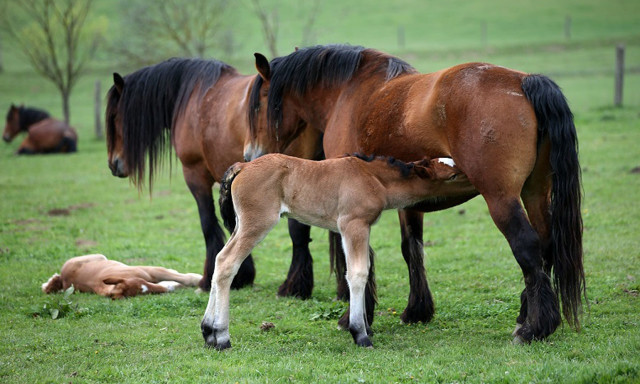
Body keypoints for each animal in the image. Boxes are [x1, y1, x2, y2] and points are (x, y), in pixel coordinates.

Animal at [107, 58, 322, 294]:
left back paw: (294, 285)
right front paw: (242, 275)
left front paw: (212, 278)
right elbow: (233, 227)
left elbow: (208, 223)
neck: (191, 94)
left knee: (298, 230)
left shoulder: (195, 175)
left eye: (114, 117)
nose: (113, 164)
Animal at [201, 152, 476, 348]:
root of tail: (243, 166)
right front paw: (360, 334)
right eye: (452, 176)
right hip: (257, 223)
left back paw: (207, 331)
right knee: (227, 263)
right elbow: (358, 273)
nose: (475, 180)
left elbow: (359, 271)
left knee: (219, 259)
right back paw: (222, 337)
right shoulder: (354, 224)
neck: (373, 178)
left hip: (241, 225)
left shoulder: (349, 230)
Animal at [245, 44, 584, 342]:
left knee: (527, 246)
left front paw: (358, 318)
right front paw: (417, 311)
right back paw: (526, 315)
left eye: (259, 103)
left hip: (502, 198)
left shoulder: (354, 208)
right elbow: (412, 249)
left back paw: (534, 328)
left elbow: (365, 258)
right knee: (546, 245)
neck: (348, 92)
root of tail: (523, 81)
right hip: (535, 193)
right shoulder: (410, 202)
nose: (250, 155)